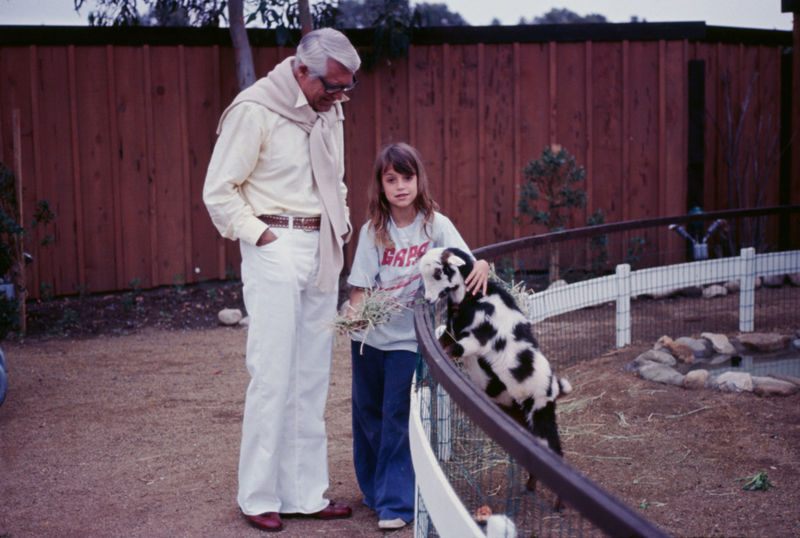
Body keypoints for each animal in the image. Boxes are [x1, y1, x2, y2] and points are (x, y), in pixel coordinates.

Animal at [416, 247, 572, 460]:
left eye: (438, 272)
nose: (429, 300)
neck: (474, 298)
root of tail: (554, 387)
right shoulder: (451, 332)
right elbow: (441, 346)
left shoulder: (476, 340)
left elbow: (451, 351)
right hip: (516, 411)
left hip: (540, 411)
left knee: (552, 447)